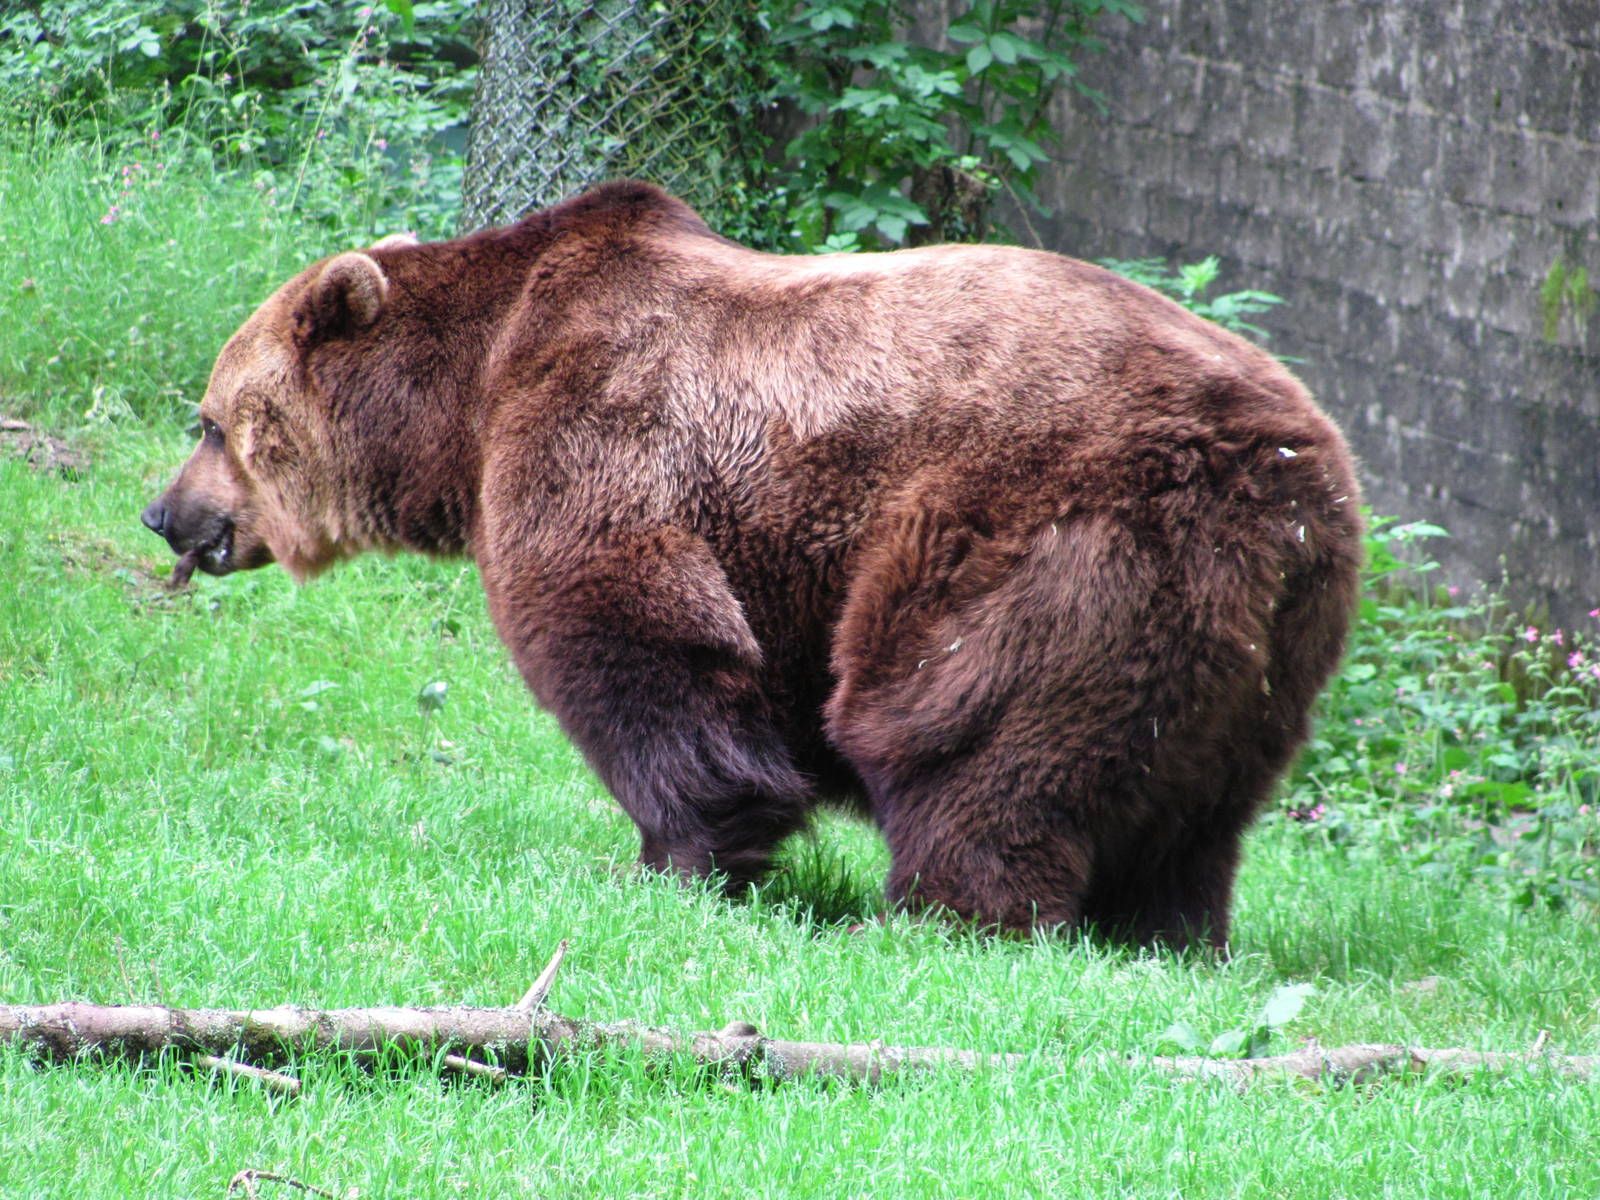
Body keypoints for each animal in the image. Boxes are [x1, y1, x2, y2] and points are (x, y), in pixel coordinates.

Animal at [141, 182, 1362, 950]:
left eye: (209, 420)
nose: (162, 514)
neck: (465, 395)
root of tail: (1290, 464)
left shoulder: (600, 425)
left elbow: (633, 632)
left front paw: (671, 858)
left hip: (1055, 530)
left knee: (966, 729)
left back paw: (939, 915)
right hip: (1271, 631)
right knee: (1196, 809)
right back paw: (1165, 933)